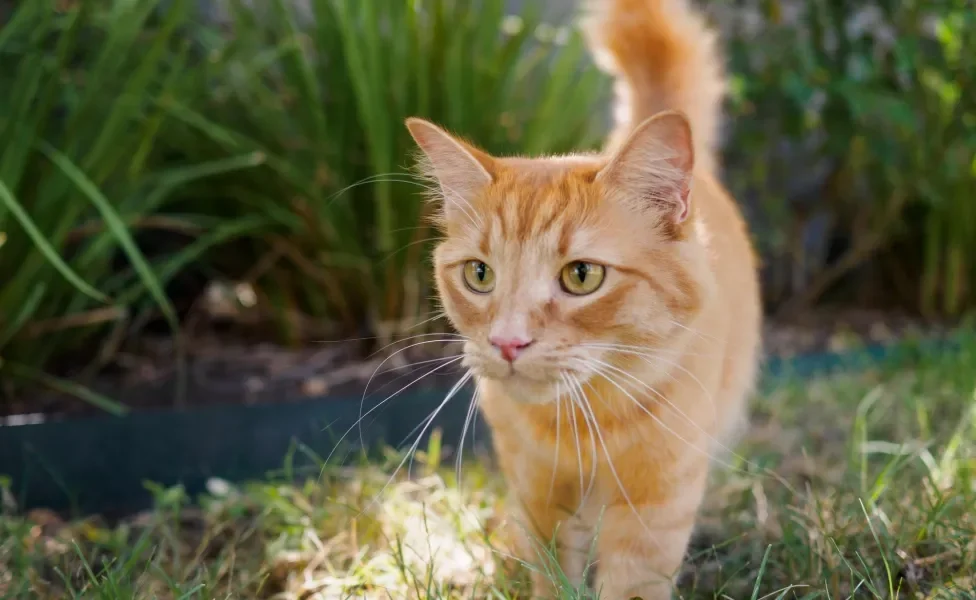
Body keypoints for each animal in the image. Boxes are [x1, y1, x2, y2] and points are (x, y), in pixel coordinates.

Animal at [404, 0, 764, 596]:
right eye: (480, 274)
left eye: (581, 276)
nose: (507, 342)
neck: (580, 422)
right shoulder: (538, 495)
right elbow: (550, 572)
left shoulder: (656, 507)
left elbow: (630, 582)